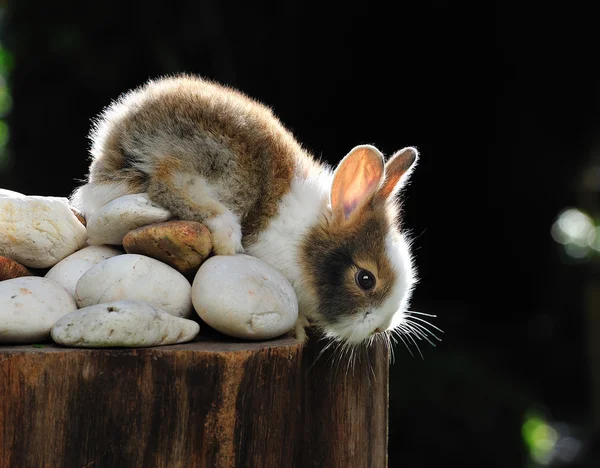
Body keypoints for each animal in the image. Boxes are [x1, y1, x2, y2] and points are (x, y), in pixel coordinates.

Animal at [71, 74, 418, 344]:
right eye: (365, 279)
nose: (380, 328)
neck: (303, 239)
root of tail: (116, 137)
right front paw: (297, 328)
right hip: (214, 161)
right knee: (168, 182)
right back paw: (226, 236)